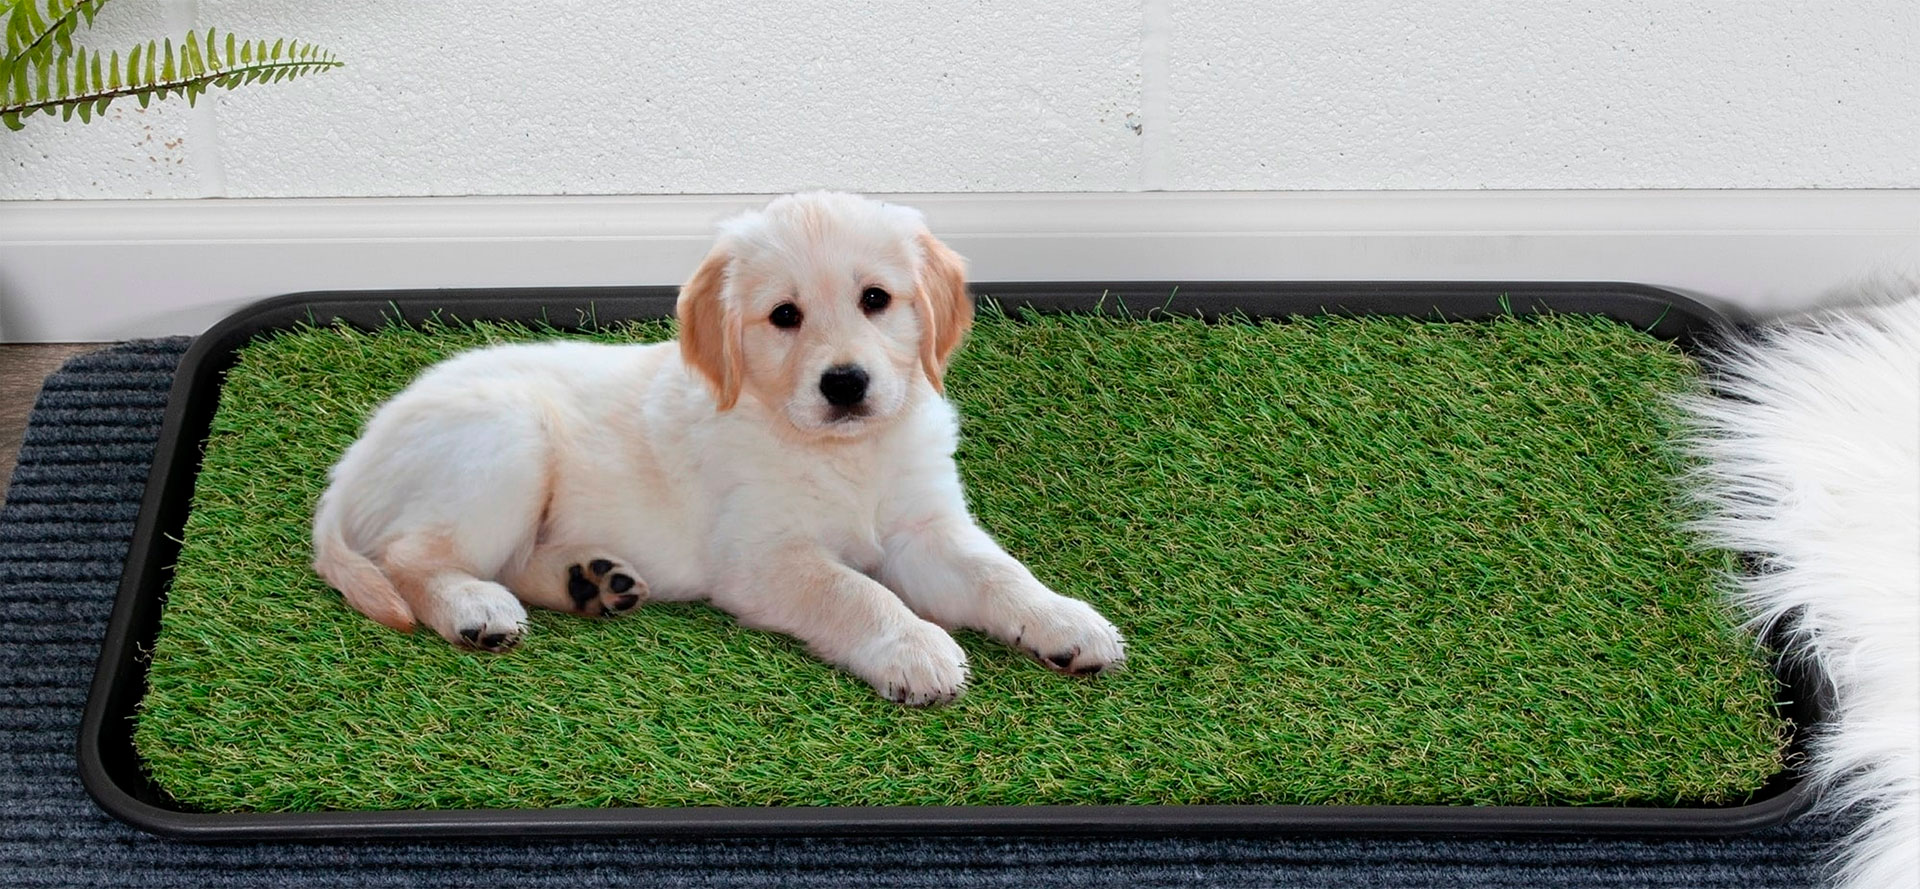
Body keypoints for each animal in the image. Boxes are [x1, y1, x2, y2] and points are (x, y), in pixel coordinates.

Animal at [311, 191, 1121, 706]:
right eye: (784, 316)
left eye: (877, 300)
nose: (846, 383)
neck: (840, 451)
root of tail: (358, 452)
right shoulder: (763, 556)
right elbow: (853, 591)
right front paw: (913, 646)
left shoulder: (925, 529)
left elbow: (996, 571)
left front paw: (1066, 621)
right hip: (507, 443)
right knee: (412, 557)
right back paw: (472, 607)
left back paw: (592, 583)